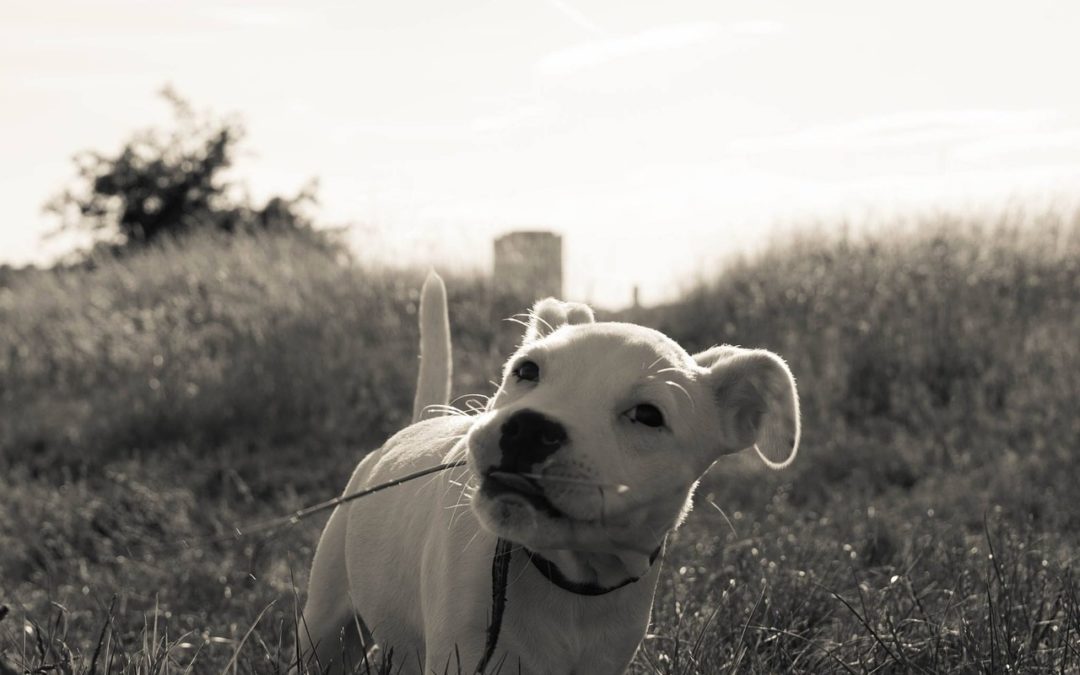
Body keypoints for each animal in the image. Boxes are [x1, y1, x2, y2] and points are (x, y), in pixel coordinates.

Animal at [300, 275, 799, 673]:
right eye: (526, 370)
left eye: (648, 415)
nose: (529, 429)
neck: (572, 578)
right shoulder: (462, 653)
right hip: (324, 623)